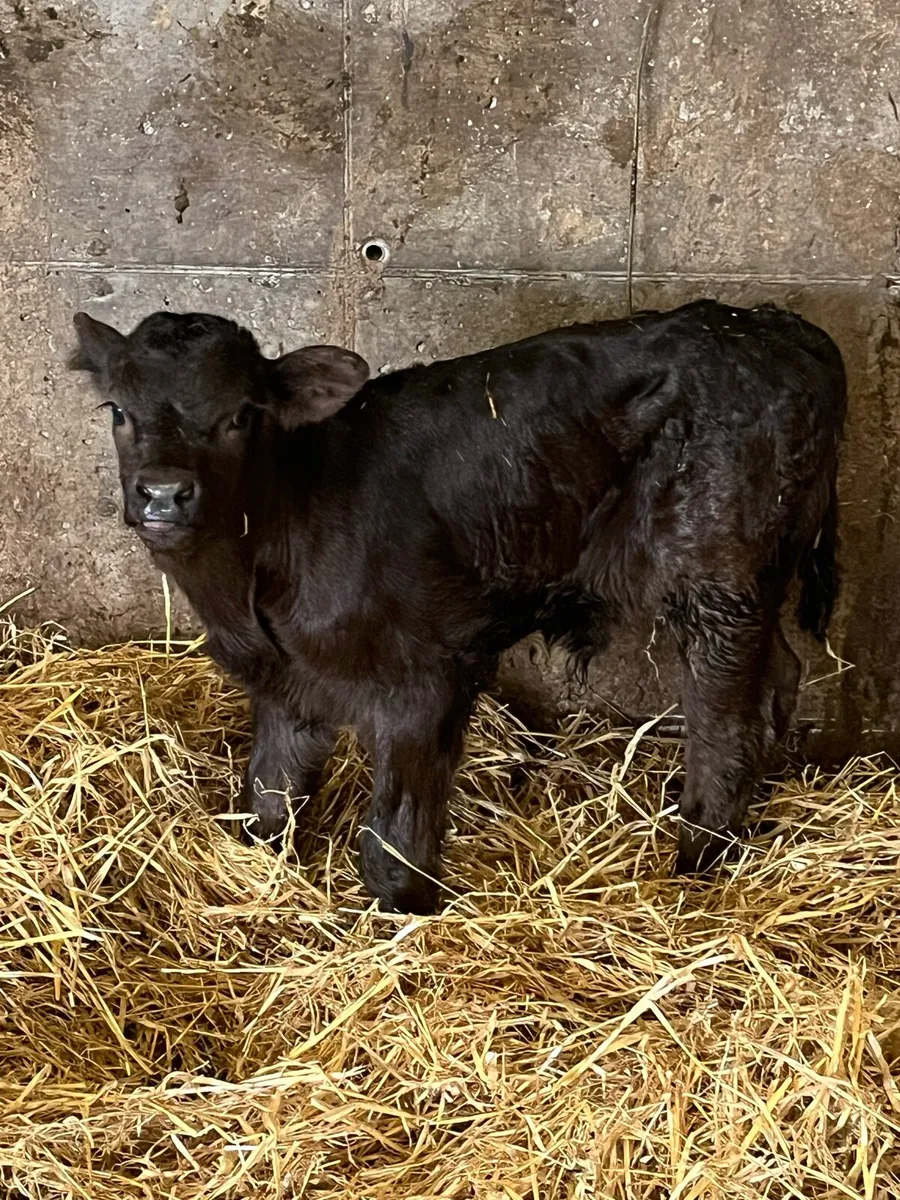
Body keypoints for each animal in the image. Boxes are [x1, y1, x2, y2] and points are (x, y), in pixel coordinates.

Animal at [69, 300, 846, 914]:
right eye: (119, 412)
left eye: (240, 415)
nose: (163, 494)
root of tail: (777, 328)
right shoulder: (290, 684)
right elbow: (269, 797)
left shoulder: (427, 676)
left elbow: (395, 838)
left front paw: (402, 920)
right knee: (777, 678)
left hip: (718, 579)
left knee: (725, 721)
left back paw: (697, 861)